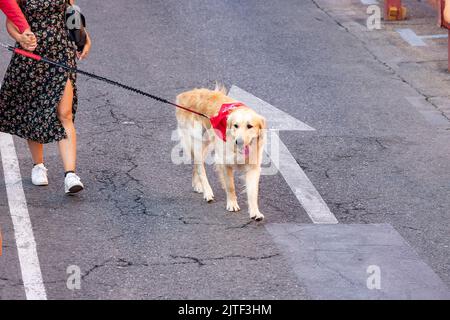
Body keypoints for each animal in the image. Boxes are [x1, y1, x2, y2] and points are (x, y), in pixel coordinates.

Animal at [176, 85, 268, 220]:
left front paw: (255, 212)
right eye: (235, 125)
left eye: (249, 126)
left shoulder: (253, 168)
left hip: (207, 143)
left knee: (197, 165)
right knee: (200, 167)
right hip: (198, 141)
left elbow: (253, 192)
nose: (238, 141)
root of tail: (188, 93)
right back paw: (207, 192)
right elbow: (231, 186)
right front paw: (232, 204)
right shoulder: (225, 163)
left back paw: (197, 185)